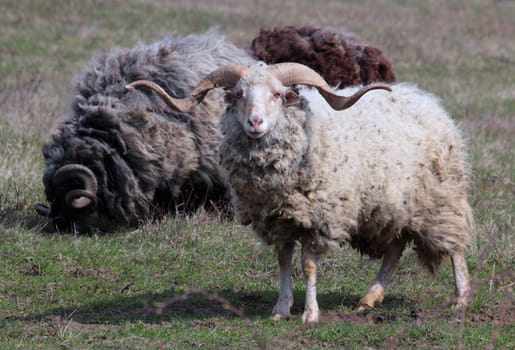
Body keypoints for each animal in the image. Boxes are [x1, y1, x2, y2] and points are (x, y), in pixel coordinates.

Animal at [128, 61, 476, 324]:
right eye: (239, 94)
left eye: (278, 94)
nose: (255, 122)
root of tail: (425, 100)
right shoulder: (278, 220)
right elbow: (283, 262)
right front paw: (281, 309)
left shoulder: (318, 220)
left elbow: (308, 266)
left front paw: (310, 314)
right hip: (392, 206)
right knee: (395, 249)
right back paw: (368, 299)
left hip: (441, 199)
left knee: (455, 246)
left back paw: (460, 298)